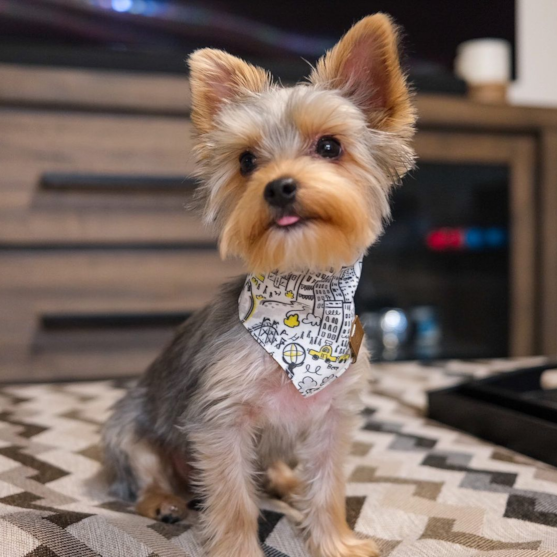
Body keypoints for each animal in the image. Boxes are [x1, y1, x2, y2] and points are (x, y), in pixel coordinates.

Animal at [101, 13, 412, 556]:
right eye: (247, 161)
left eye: (329, 146)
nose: (279, 186)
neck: (302, 308)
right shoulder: (221, 421)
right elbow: (233, 500)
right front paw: (239, 547)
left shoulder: (331, 419)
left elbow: (327, 487)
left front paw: (335, 542)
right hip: (127, 430)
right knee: (143, 476)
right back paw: (164, 501)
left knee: (281, 470)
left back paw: (285, 481)